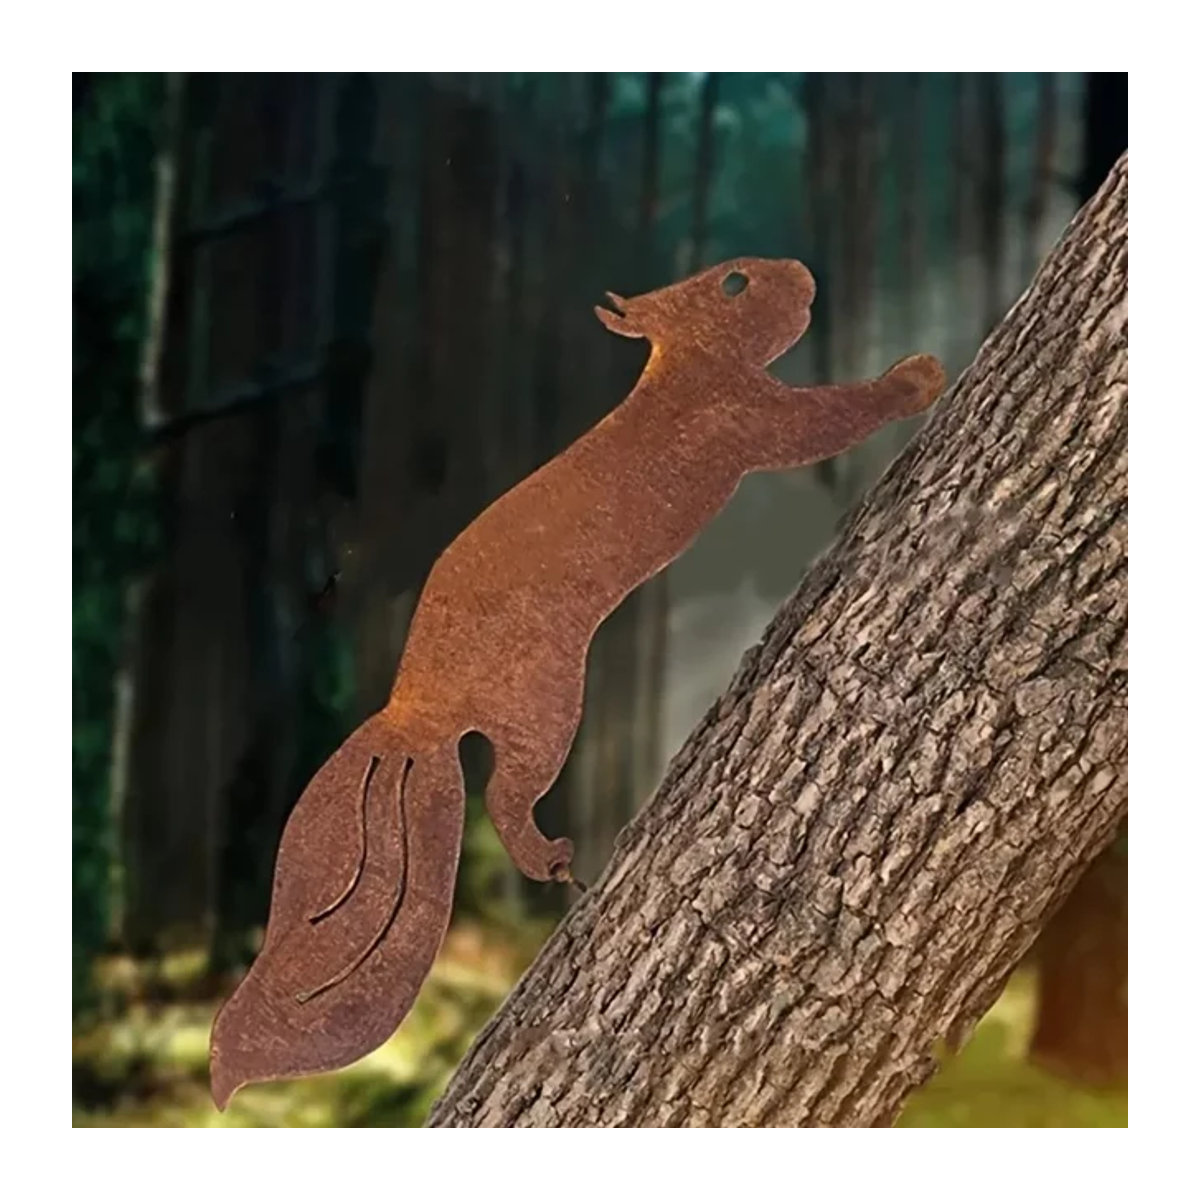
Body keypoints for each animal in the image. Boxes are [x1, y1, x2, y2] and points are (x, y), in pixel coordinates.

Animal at [209, 257, 946, 1108]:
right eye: (734, 281)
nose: (801, 274)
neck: (678, 371)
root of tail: (415, 709)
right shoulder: (745, 415)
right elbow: (826, 419)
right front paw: (917, 378)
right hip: (546, 707)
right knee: (504, 795)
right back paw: (553, 858)